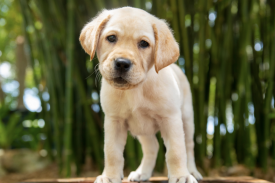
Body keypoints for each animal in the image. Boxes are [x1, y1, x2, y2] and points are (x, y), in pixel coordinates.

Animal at [80, 6, 203, 183]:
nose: (122, 63)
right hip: (142, 129)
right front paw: (109, 176)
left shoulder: (171, 119)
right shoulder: (114, 121)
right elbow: (112, 153)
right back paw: (142, 173)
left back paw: (192, 171)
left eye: (144, 43)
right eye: (111, 38)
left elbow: (176, 152)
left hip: (186, 119)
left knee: (189, 146)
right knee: (152, 147)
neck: (135, 89)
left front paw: (181, 176)